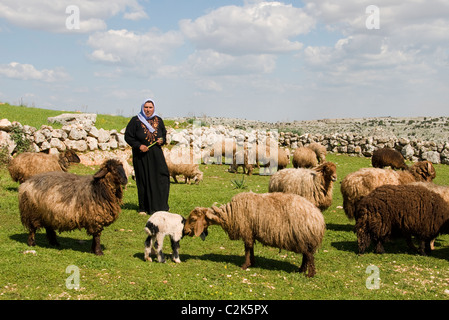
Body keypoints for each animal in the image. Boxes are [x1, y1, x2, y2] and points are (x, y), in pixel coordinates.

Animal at [183, 192, 326, 278]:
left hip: (303, 236)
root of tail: (318, 217)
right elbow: (251, 248)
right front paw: (252, 262)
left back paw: (310, 274)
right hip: (303, 239)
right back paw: (301, 270)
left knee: (309, 256)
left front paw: (245, 265)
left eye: (193, 219)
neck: (230, 213)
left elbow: (247, 248)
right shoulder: (251, 232)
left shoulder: (246, 230)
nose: (185, 231)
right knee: (306, 256)